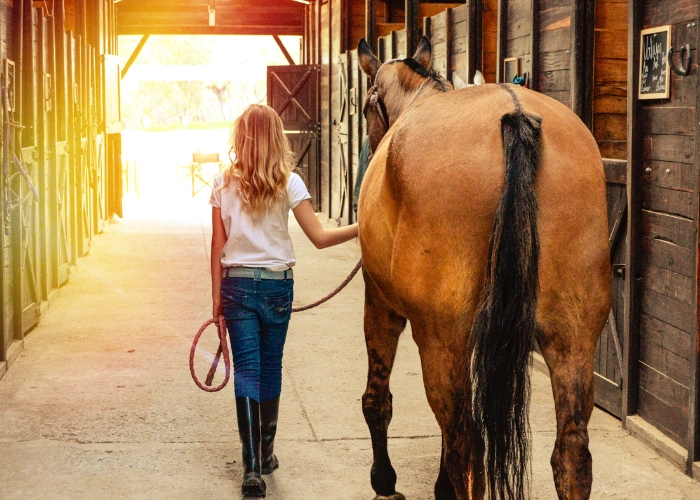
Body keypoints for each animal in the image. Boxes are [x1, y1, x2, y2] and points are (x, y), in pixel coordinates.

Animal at [356, 36, 612, 500]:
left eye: (368, 106)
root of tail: (514, 115)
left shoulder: (380, 303)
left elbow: (377, 400)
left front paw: (384, 480)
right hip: (573, 338)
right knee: (571, 451)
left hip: (441, 340)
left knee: (466, 443)